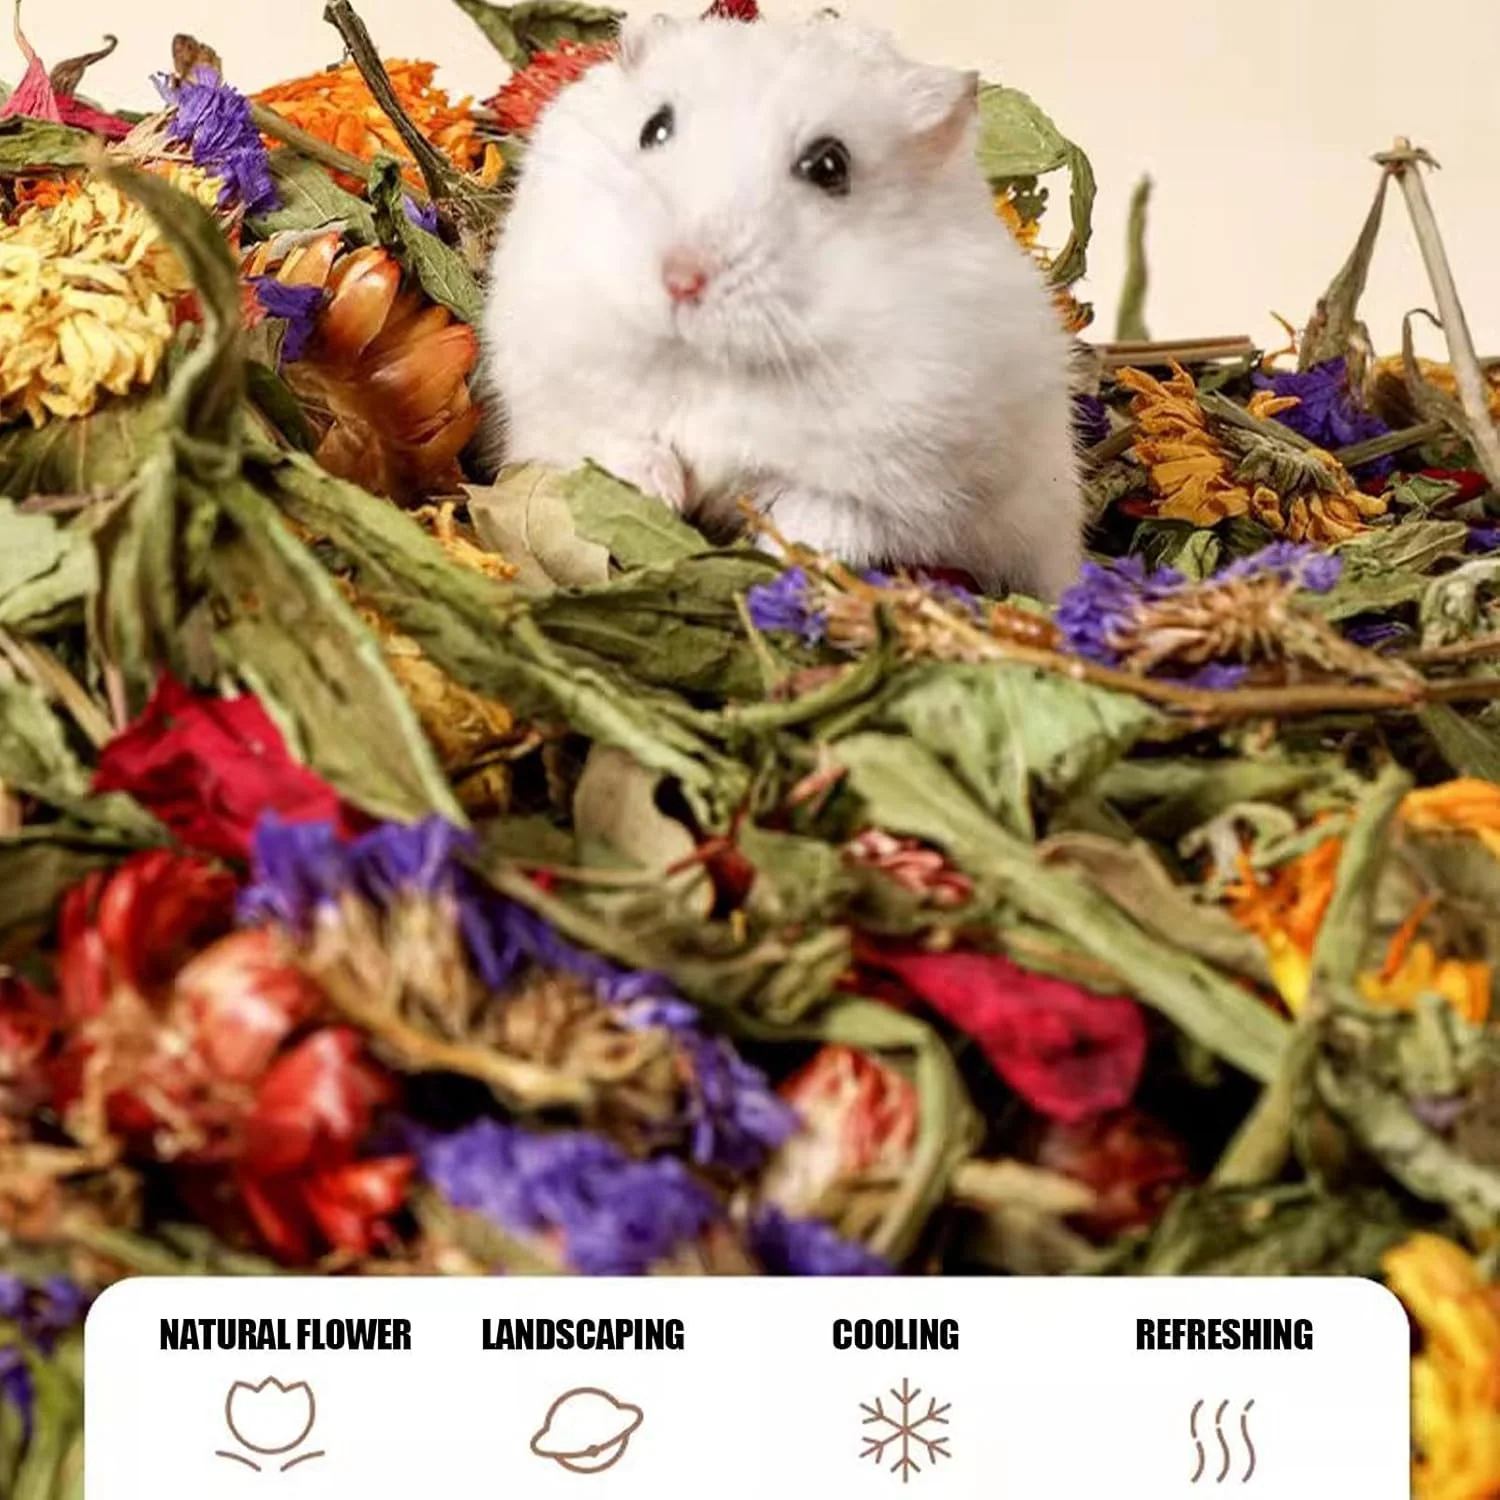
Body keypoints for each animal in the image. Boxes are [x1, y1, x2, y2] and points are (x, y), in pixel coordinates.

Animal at [480, 14, 1085, 602]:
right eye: (654, 127)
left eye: (829, 166)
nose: (680, 280)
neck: (712, 363)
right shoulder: (551, 395)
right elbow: (607, 438)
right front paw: (660, 493)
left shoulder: (924, 481)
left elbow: (829, 513)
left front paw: (776, 554)